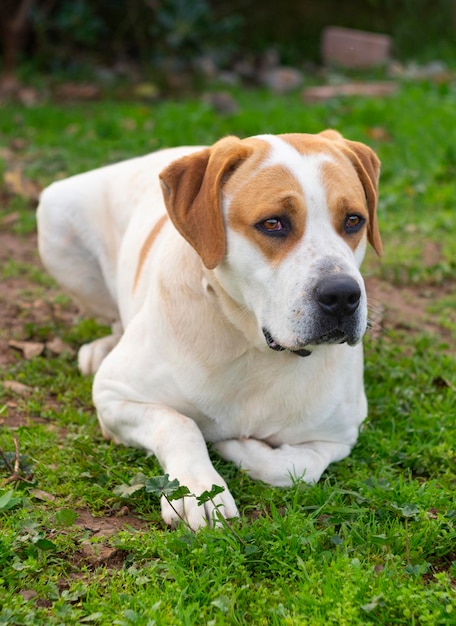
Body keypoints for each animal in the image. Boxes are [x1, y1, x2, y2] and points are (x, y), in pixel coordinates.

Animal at [38, 130, 382, 528]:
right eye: (273, 223)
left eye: (354, 220)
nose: (342, 295)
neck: (255, 348)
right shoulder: (114, 395)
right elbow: (179, 424)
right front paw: (198, 489)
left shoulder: (339, 437)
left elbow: (297, 467)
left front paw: (239, 446)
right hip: (55, 216)